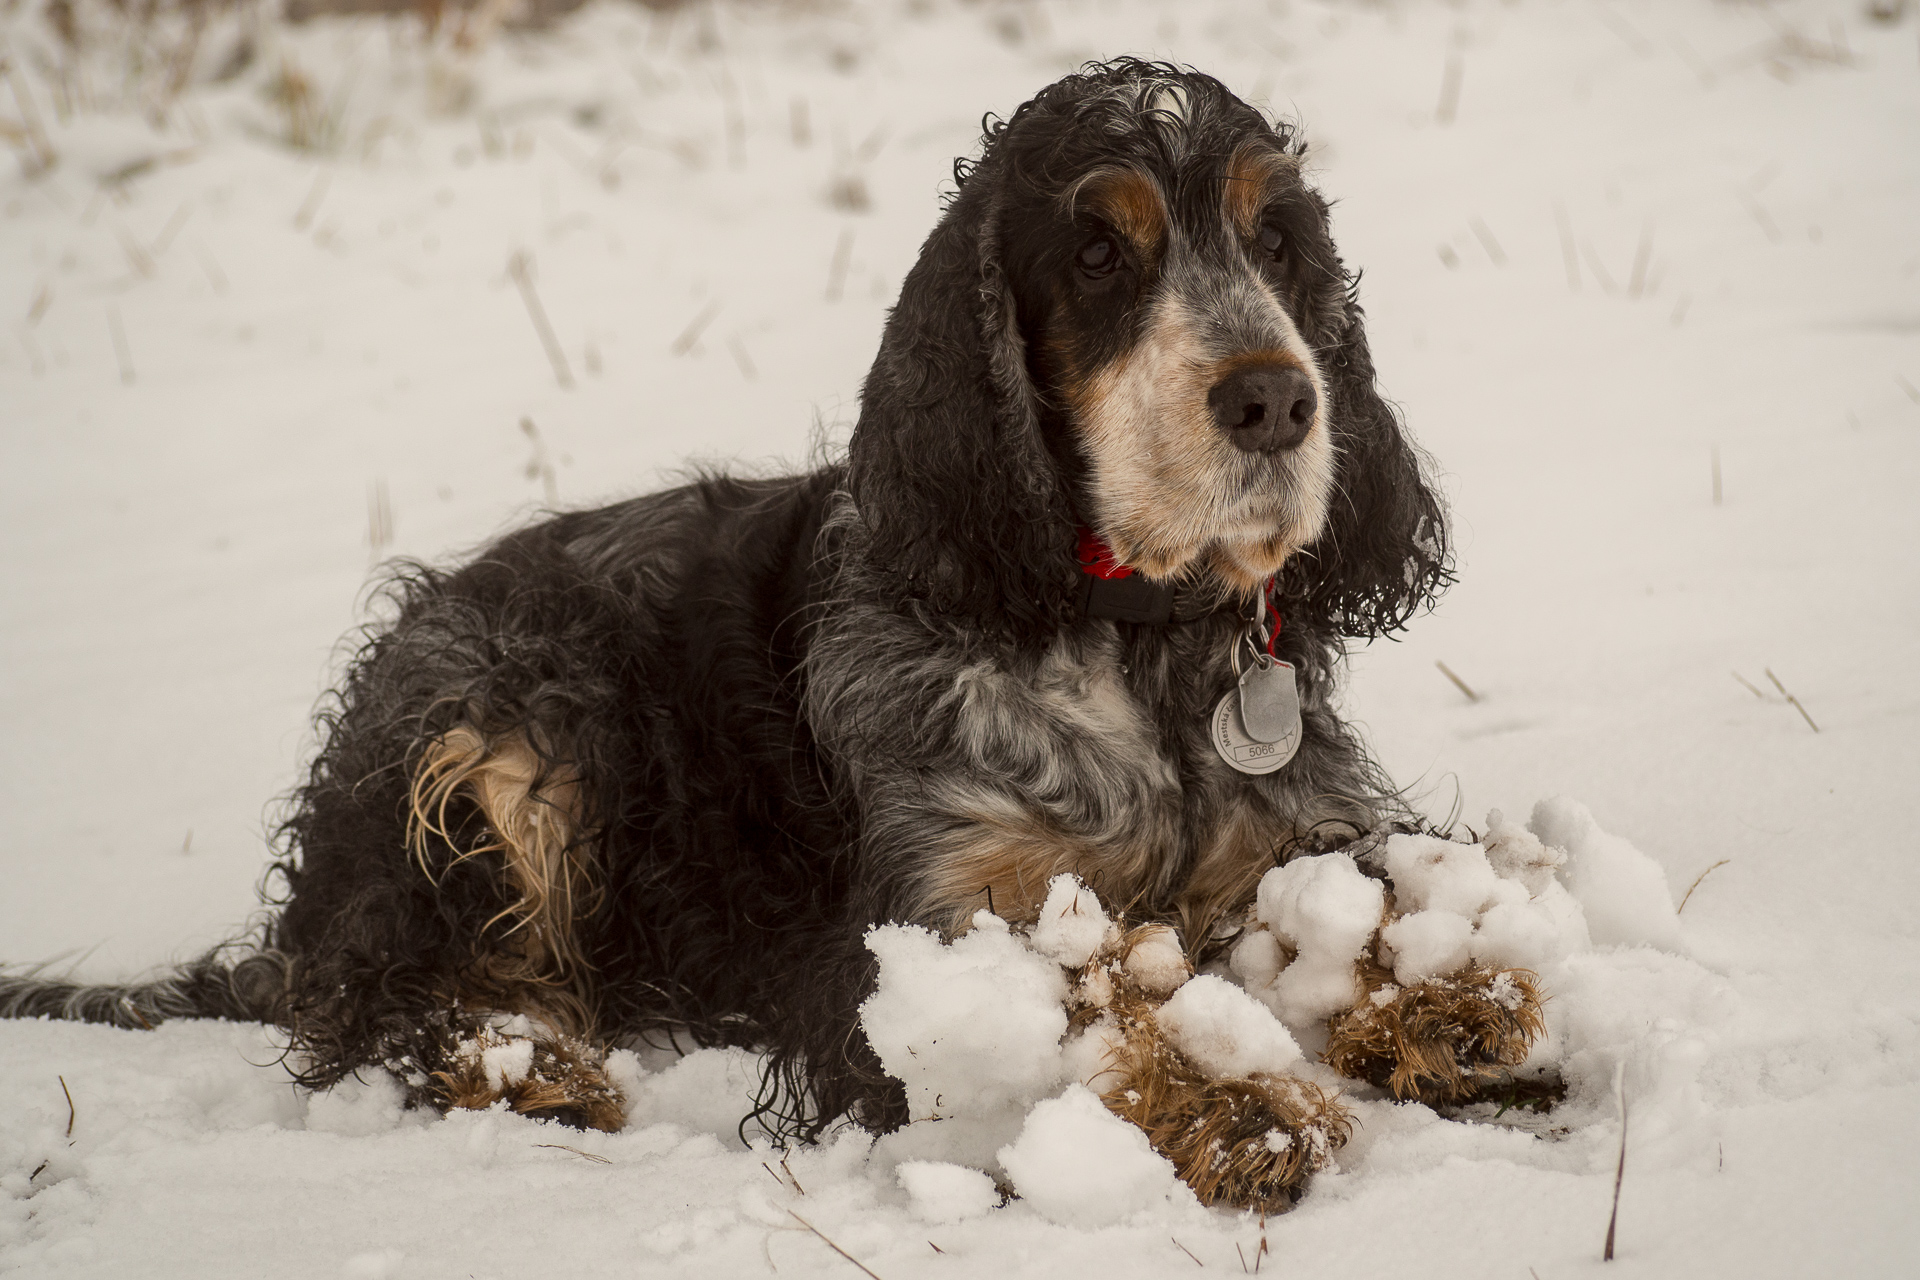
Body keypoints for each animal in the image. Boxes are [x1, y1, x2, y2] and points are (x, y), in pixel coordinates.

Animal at [0, 55, 1443, 1143]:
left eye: (1278, 239)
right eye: (1095, 253)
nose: (1276, 399)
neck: (1130, 641)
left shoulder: (1304, 838)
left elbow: (1379, 903)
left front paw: (1440, 1009)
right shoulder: (921, 938)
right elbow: (1090, 1008)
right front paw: (1246, 1109)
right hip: (506, 728)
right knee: (381, 1003)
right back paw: (538, 1072)